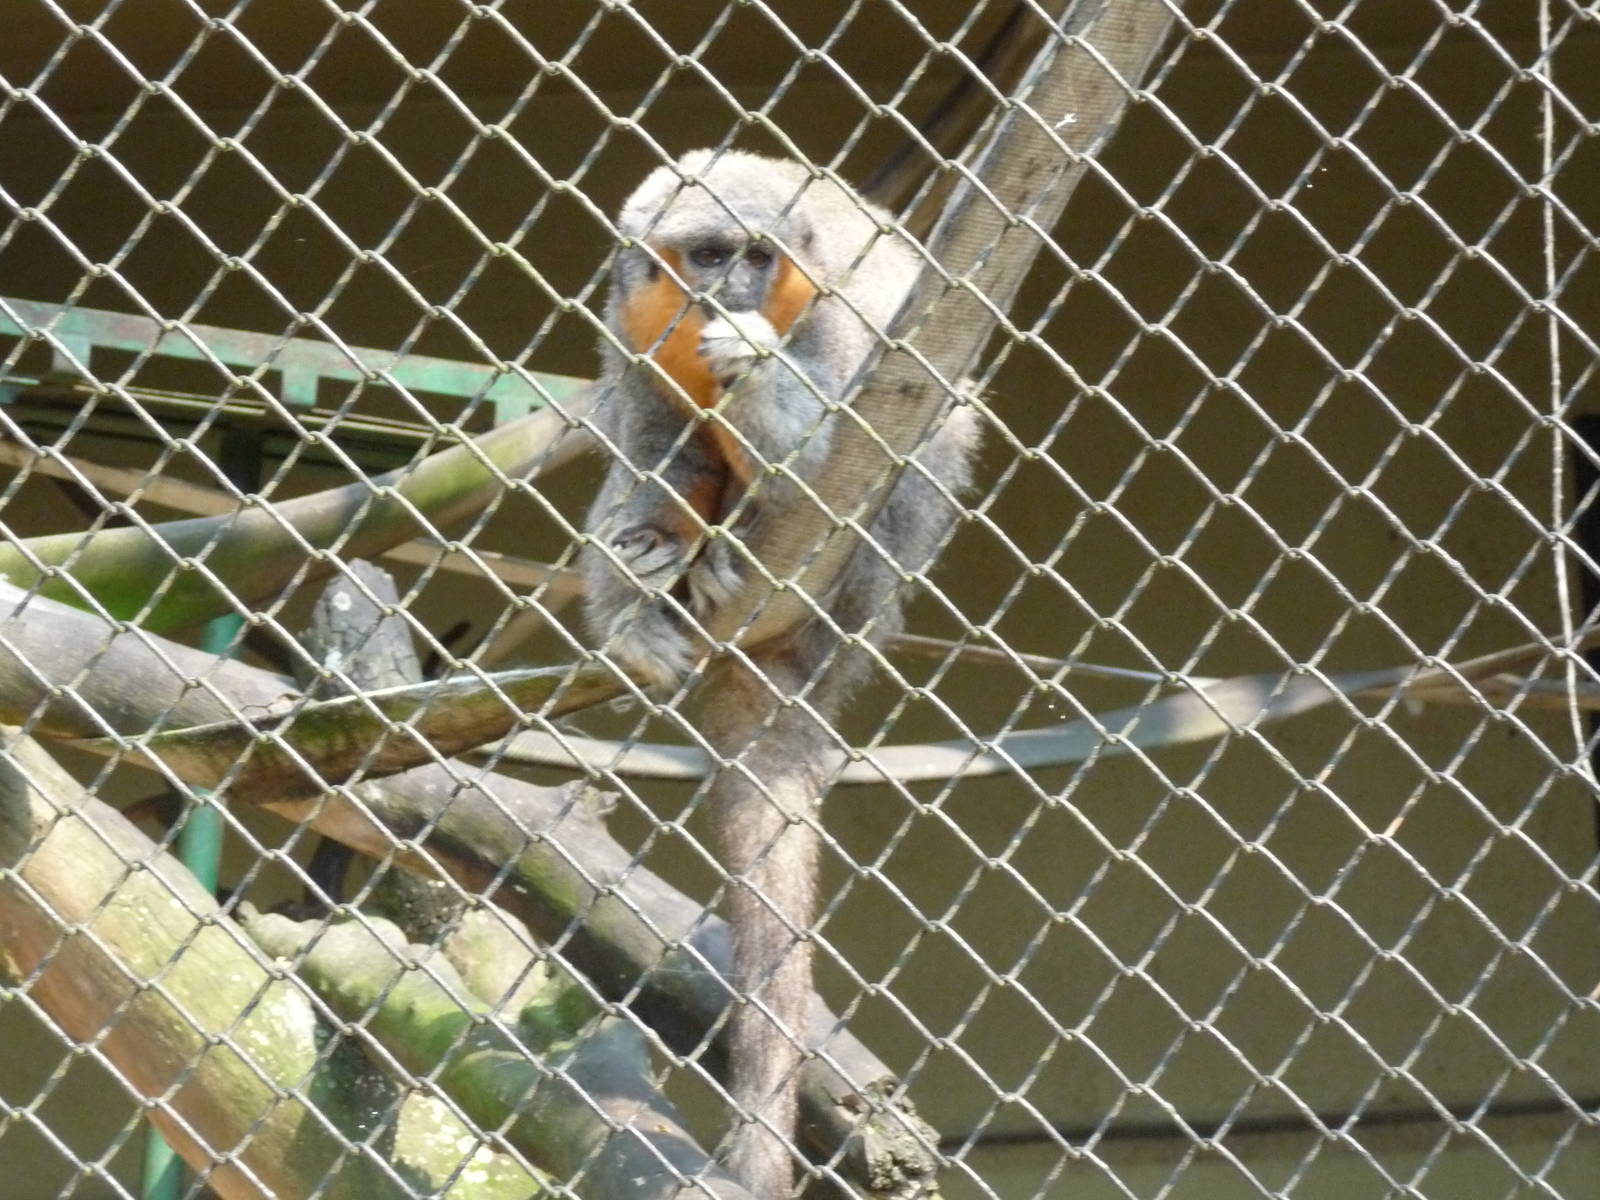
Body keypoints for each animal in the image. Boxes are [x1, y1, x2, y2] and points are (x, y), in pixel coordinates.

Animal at [582, 149, 979, 1196]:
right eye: (711, 253)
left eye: (758, 256)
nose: (734, 289)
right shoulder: (625, 320)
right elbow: (648, 433)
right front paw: (651, 560)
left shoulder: (834, 316)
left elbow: (854, 442)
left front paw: (757, 369)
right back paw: (670, 578)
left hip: (874, 587)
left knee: (916, 452)